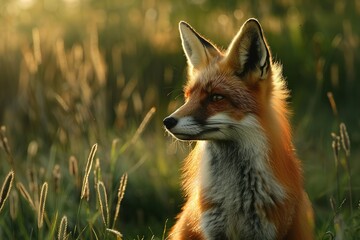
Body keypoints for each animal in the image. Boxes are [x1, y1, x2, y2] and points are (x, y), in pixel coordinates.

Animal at [164, 18, 316, 240]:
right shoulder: (213, 228)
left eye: (216, 97)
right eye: (188, 96)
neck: (235, 200)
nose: (168, 121)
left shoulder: (267, 229)